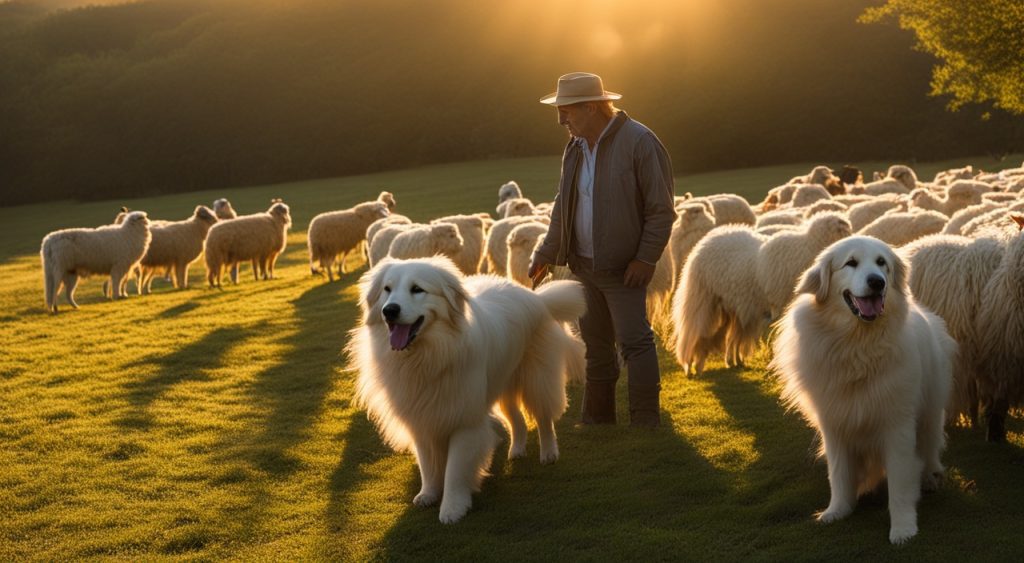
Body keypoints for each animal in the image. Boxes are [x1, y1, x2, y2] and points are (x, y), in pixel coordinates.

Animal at [348, 255, 585, 524]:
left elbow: (455, 469)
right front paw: (428, 494)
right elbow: (427, 464)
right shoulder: (422, 419)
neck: (429, 356)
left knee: (544, 419)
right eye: (387, 289)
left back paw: (548, 454)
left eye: (417, 289)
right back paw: (516, 450)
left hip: (537, 379)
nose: (389, 310)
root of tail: (537, 298)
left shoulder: (464, 422)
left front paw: (452, 508)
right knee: (517, 420)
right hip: (502, 385)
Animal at [770, 236, 954, 544]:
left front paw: (903, 528)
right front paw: (838, 510)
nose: (877, 282)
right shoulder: (834, 424)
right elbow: (839, 475)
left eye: (881, 263)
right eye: (851, 263)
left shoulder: (898, 425)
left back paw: (930, 478)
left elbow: (900, 483)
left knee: (929, 450)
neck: (857, 344)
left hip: (929, 413)